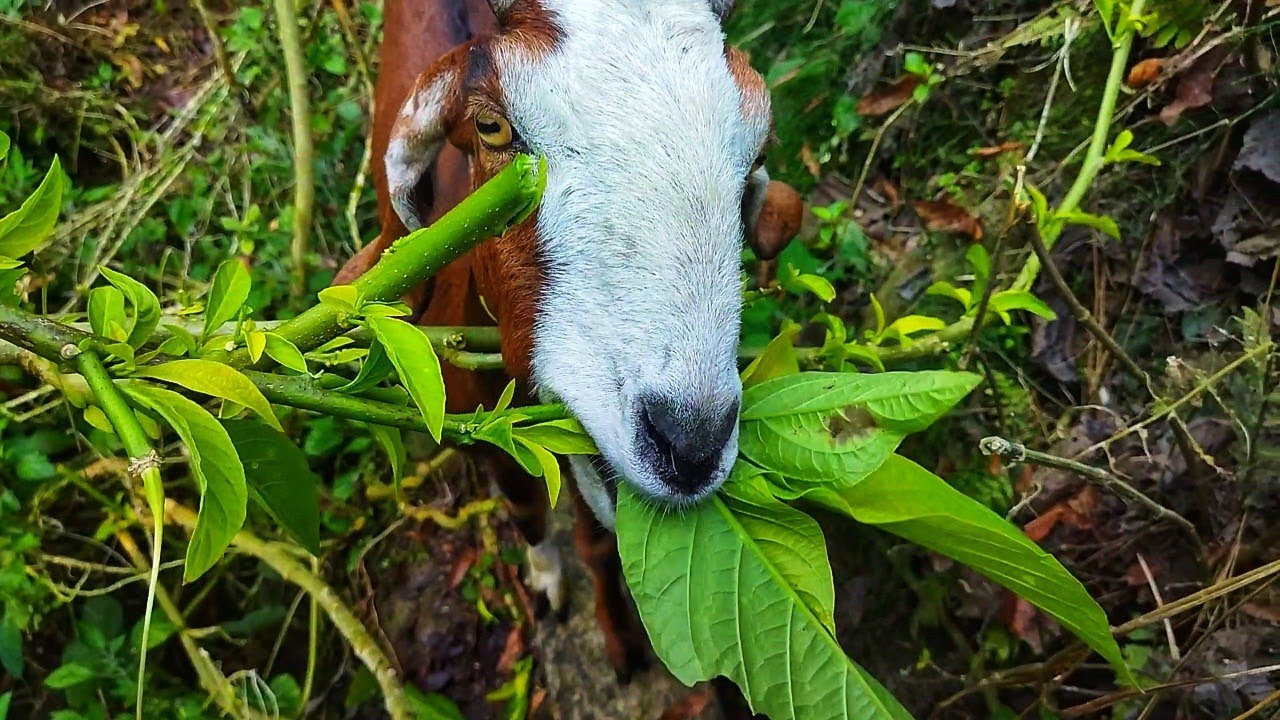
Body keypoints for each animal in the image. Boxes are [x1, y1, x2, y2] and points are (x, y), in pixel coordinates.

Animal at [335, 0, 803, 697]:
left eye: (757, 149)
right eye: (492, 126)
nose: (690, 442)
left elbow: (599, 541)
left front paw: (618, 639)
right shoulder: (489, 438)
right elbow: (527, 508)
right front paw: (548, 584)